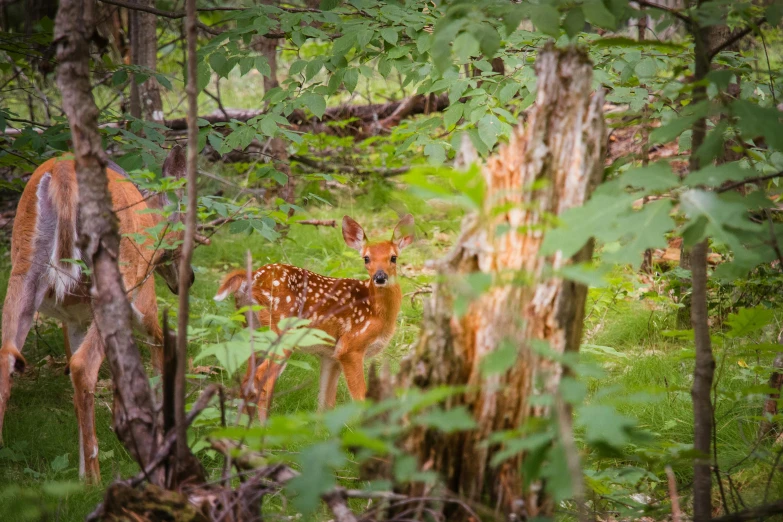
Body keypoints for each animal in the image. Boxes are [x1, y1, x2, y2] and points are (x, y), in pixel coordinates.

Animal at [0, 145, 202, 480]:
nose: (189, 279)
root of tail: (63, 170)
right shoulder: (143, 301)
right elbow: (160, 347)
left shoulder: (74, 318)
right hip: (118, 275)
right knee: (84, 366)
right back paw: (94, 479)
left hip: (23, 268)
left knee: (8, 359)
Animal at [211, 213, 414, 420]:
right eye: (366, 258)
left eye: (393, 258)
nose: (380, 277)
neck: (376, 312)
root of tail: (249, 278)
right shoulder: (351, 346)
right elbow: (362, 399)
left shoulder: (330, 355)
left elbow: (325, 405)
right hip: (281, 332)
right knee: (261, 380)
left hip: (252, 328)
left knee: (246, 379)